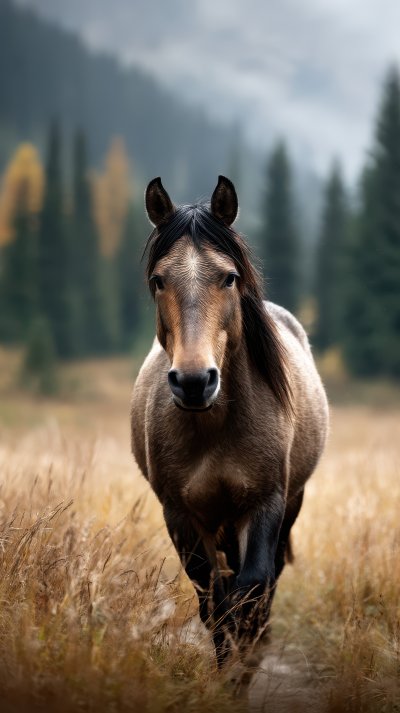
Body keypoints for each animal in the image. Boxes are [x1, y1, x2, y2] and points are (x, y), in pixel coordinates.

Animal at [131, 175, 329, 667]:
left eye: (229, 277)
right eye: (159, 279)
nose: (194, 381)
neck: (213, 426)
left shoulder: (264, 505)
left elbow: (252, 592)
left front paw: (244, 663)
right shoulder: (181, 516)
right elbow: (215, 605)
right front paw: (227, 670)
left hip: (290, 504)